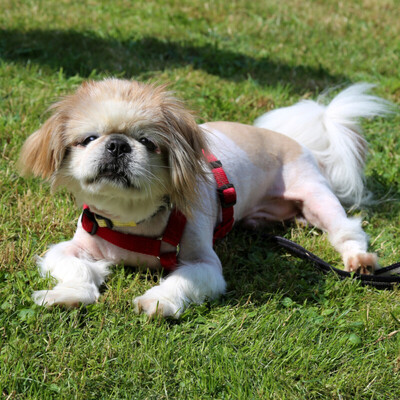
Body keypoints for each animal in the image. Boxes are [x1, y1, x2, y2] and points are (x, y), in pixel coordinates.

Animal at [18, 79, 390, 318]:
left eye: (148, 142)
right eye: (89, 138)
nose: (118, 144)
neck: (133, 220)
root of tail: (298, 142)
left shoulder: (205, 265)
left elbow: (181, 281)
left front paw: (155, 303)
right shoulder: (73, 246)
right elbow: (74, 267)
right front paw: (66, 296)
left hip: (316, 195)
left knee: (346, 229)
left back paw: (359, 260)